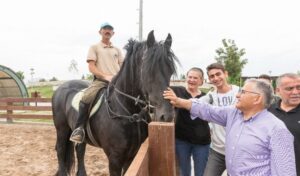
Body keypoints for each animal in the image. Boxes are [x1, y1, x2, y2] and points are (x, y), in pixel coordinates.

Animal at [52, 30, 178, 176]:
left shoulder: (132, 155)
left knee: (80, 150)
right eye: (149, 70)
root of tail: (61, 87)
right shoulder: (115, 158)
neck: (129, 113)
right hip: (62, 129)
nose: (167, 116)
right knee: (60, 150)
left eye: (170, 70)